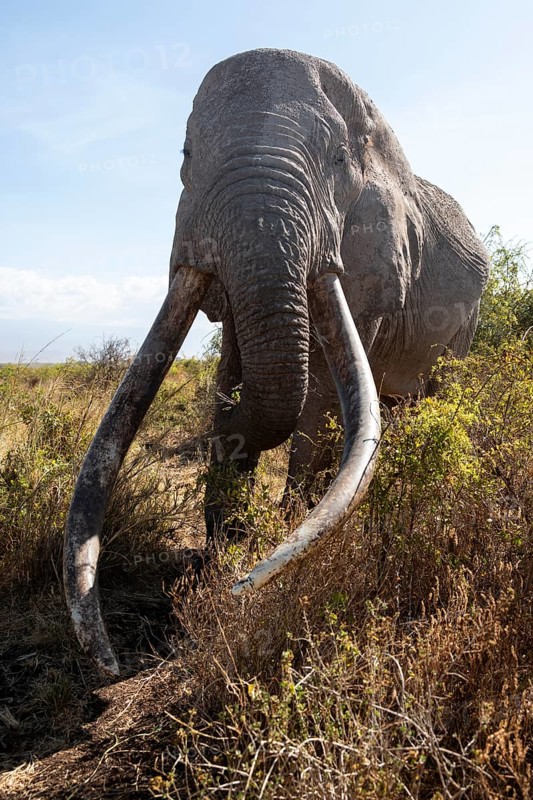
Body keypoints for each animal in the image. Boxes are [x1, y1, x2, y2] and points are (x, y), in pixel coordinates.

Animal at [64, 49, 490, 675]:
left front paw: (266, 551)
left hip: (464, 329)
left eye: (338, 159)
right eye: (186, 155)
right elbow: (238, 368)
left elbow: (321, 399)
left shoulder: (376, 259)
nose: (111, 665)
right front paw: (217, 558)